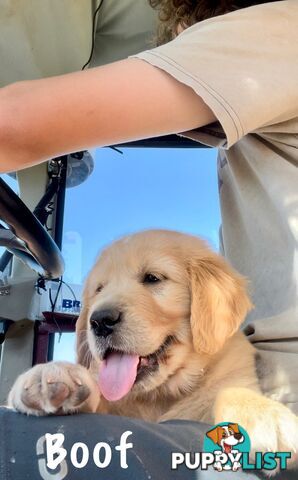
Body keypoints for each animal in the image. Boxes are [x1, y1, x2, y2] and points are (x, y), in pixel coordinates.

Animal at [7, 231, 298, 464]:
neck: (160, 395)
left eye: (152, 278)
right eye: (99, 289)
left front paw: (262, 415)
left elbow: (229, 391)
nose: (100, 321)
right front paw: (54, 375)